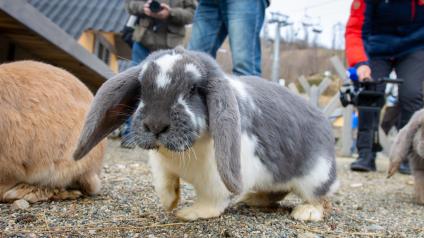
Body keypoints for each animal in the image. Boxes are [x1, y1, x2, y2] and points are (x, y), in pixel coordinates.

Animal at [73, 47, 338, 221]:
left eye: (193, 89)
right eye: (142, 86)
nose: (155, 125)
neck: (184, 150)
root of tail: (325, 122)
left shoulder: (217, 180)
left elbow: (212, 201)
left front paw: (189, 213)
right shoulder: (161, 166)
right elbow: (164, 183)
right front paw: (169, 202)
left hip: (315, 176)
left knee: (321, 197)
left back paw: (306, 213)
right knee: (276, 191)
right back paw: (251, 199)